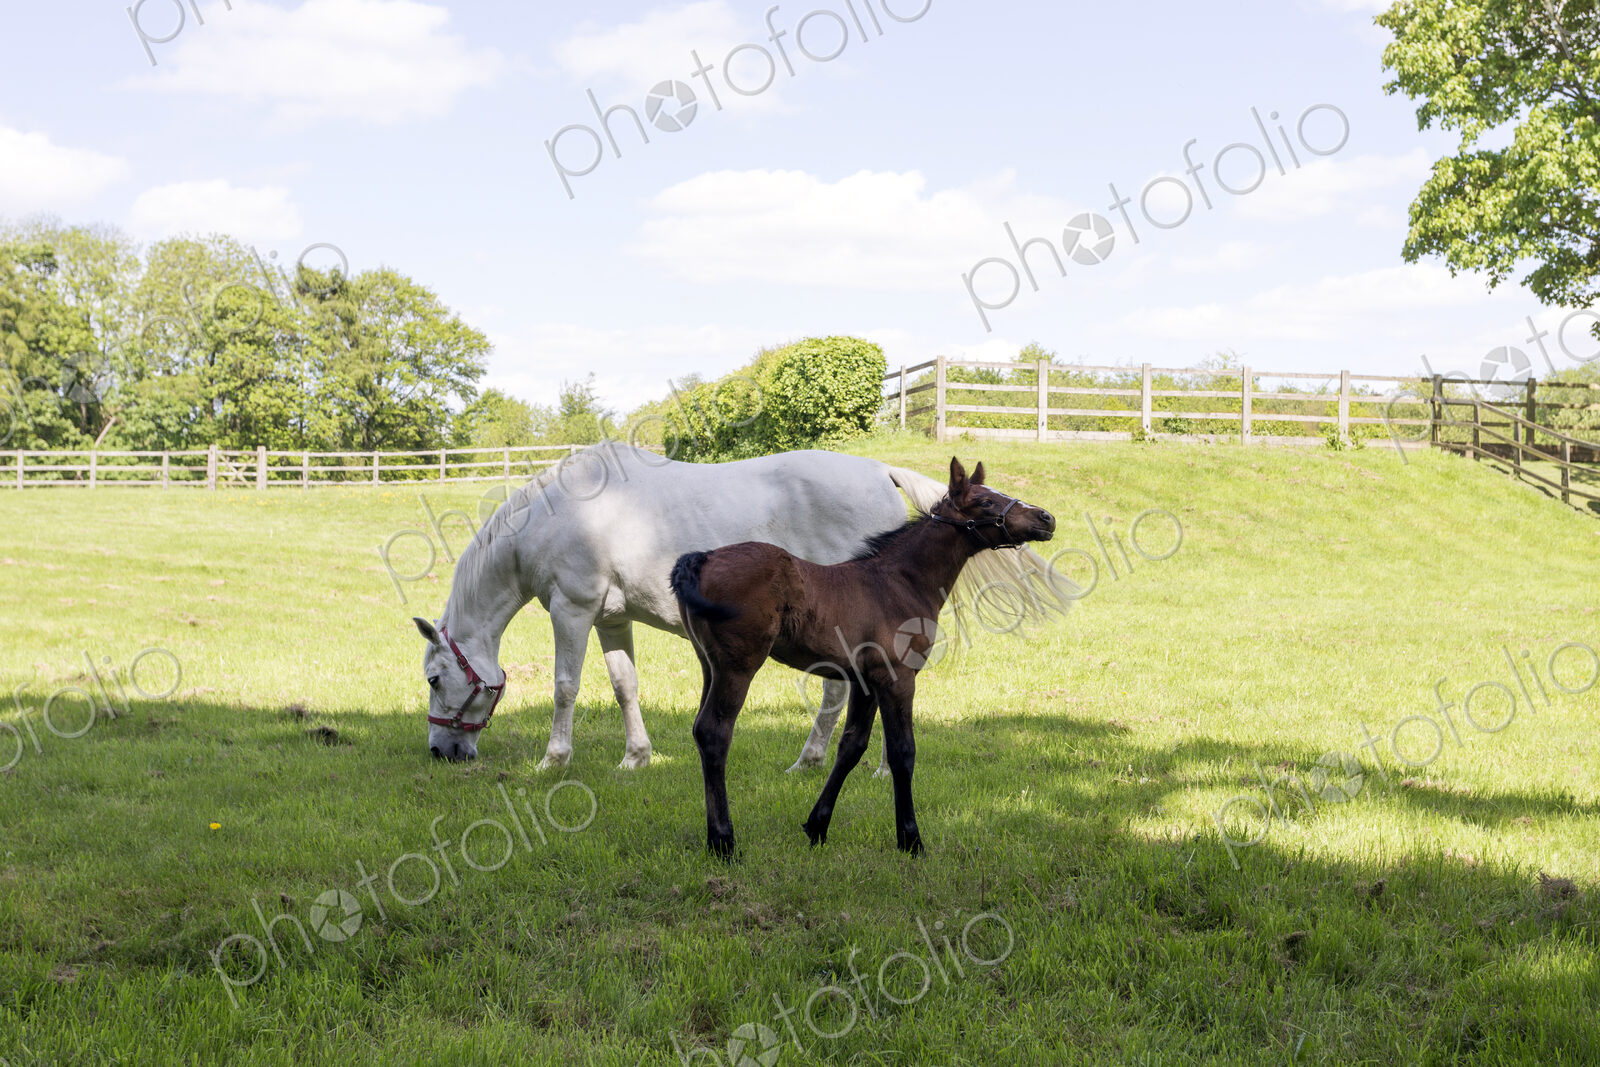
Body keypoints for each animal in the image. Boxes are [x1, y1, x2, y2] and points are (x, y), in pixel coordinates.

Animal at [414, 441, 1075, 769]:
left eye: (435, 678)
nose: (443, 753)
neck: (559, 513)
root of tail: (881, 471)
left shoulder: (570, 611)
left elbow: (564, 687)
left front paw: (554, 760)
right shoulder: (611, 619)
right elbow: (624, 687)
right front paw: (636, 758)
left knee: (841, 694)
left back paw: (826, 761)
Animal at [670, 457, 1056, 857]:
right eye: (985, 502)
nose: (1045, 518)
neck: (900, 581)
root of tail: (701, 559)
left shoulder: (865, 682)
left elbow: (851, 747)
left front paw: (817, 826)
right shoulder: (897, 678)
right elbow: (902, 753)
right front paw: (910, 838)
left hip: (710, 666)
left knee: (700, 730)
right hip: (738, 667)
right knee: (715, 732)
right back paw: (723, 841)